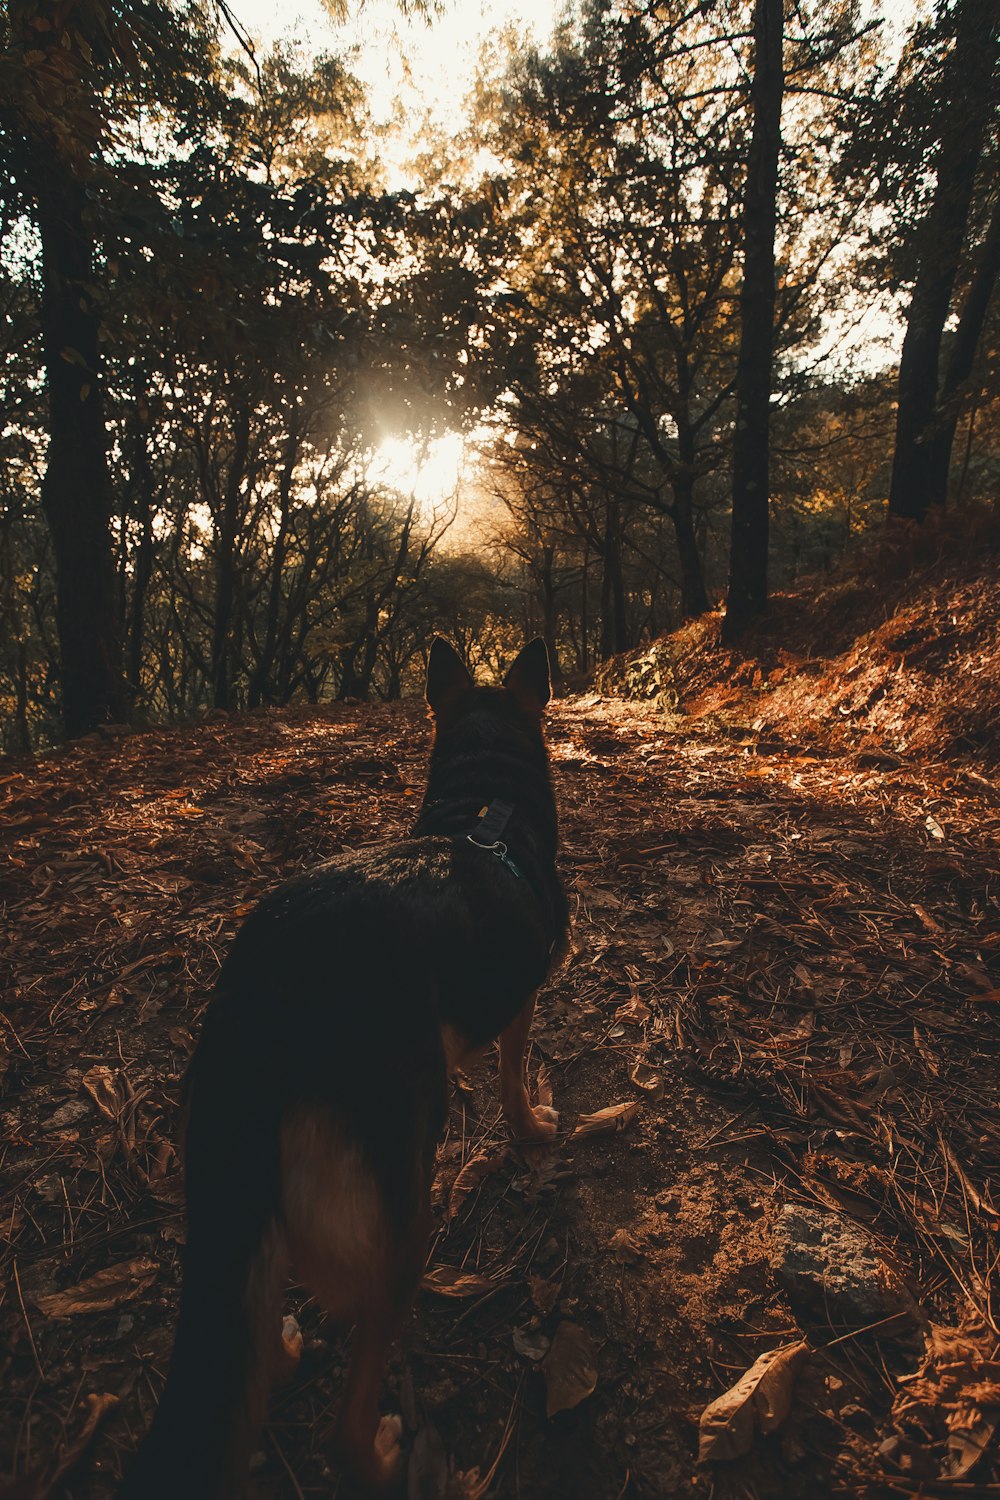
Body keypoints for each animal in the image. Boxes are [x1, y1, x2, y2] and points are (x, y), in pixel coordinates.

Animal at [119, 636, 563, 1500]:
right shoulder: (520, 1003)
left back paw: (284, 1355)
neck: (483, 815)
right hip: (399, 1224)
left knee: (252, 1321)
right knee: (345, 1426)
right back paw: (390, 1458)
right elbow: (512, 1072)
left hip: (237, 1192)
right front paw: (530, 1128)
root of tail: (261, 999)